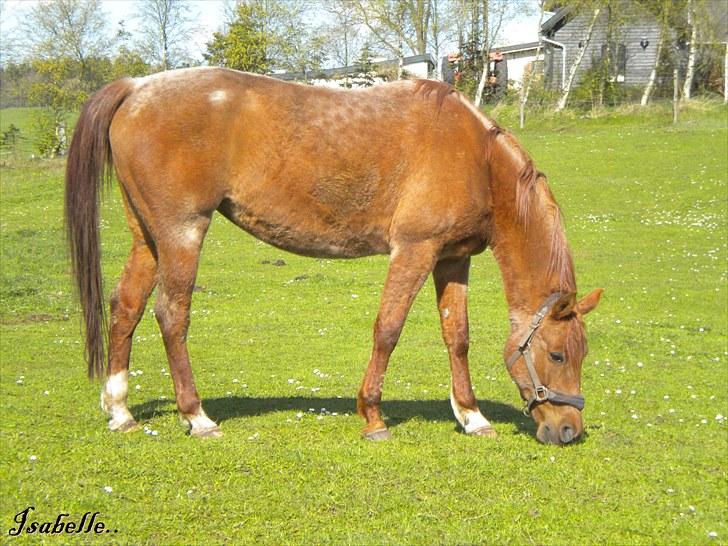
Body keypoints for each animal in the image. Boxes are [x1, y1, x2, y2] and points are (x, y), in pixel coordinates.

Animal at [65, 67, 604, 442]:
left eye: (581, 353)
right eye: (556, 353)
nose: (569, 430)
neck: (477, 157)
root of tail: (136, 87)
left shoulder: (453, 259)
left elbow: (458, 337)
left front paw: (471, 416)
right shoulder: (415, 250)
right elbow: (388, 330)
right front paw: (373, 416)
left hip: (147, 239)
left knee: (126, 309)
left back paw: (120, 411)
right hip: (182, 234)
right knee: (171, 315)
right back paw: (197, 417)